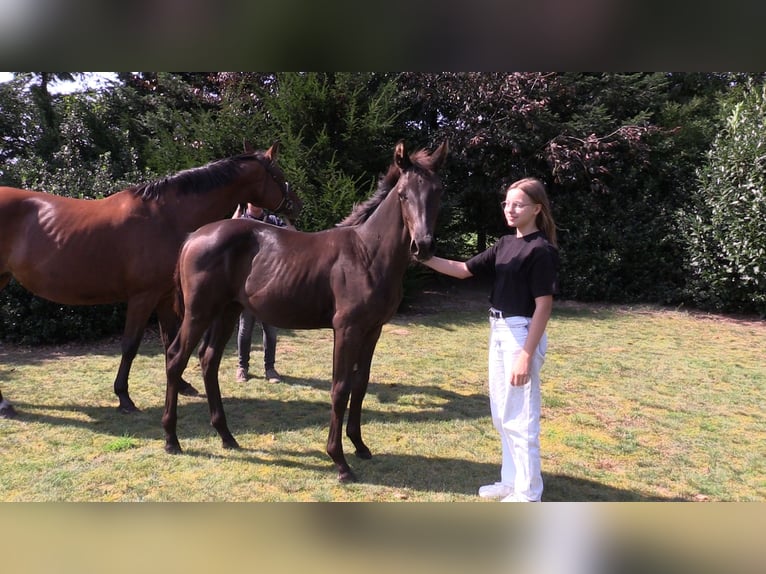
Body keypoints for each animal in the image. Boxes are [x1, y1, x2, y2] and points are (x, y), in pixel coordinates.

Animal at [0, 143, 302, 418]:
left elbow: (170, 342)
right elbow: (130, 345)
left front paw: (181, 385)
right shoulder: (142, 297)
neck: (166, 216)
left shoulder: (164, 297)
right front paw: (124, 397)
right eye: (279, 174)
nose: (296, 205)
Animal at [164, 142, 450, 484]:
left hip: (228, 312)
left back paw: (227, 436)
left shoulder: (373, 329)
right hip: (199, 313)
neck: (368, 253)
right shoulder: (347, 329)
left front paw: (360, 446)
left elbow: (361, 384)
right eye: (404, 194)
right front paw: (339, 461)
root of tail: (192, 237)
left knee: (208, 361)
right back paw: (172, 439)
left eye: (438, 191)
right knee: (176, 359)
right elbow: (340, 388)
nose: (424, 246)